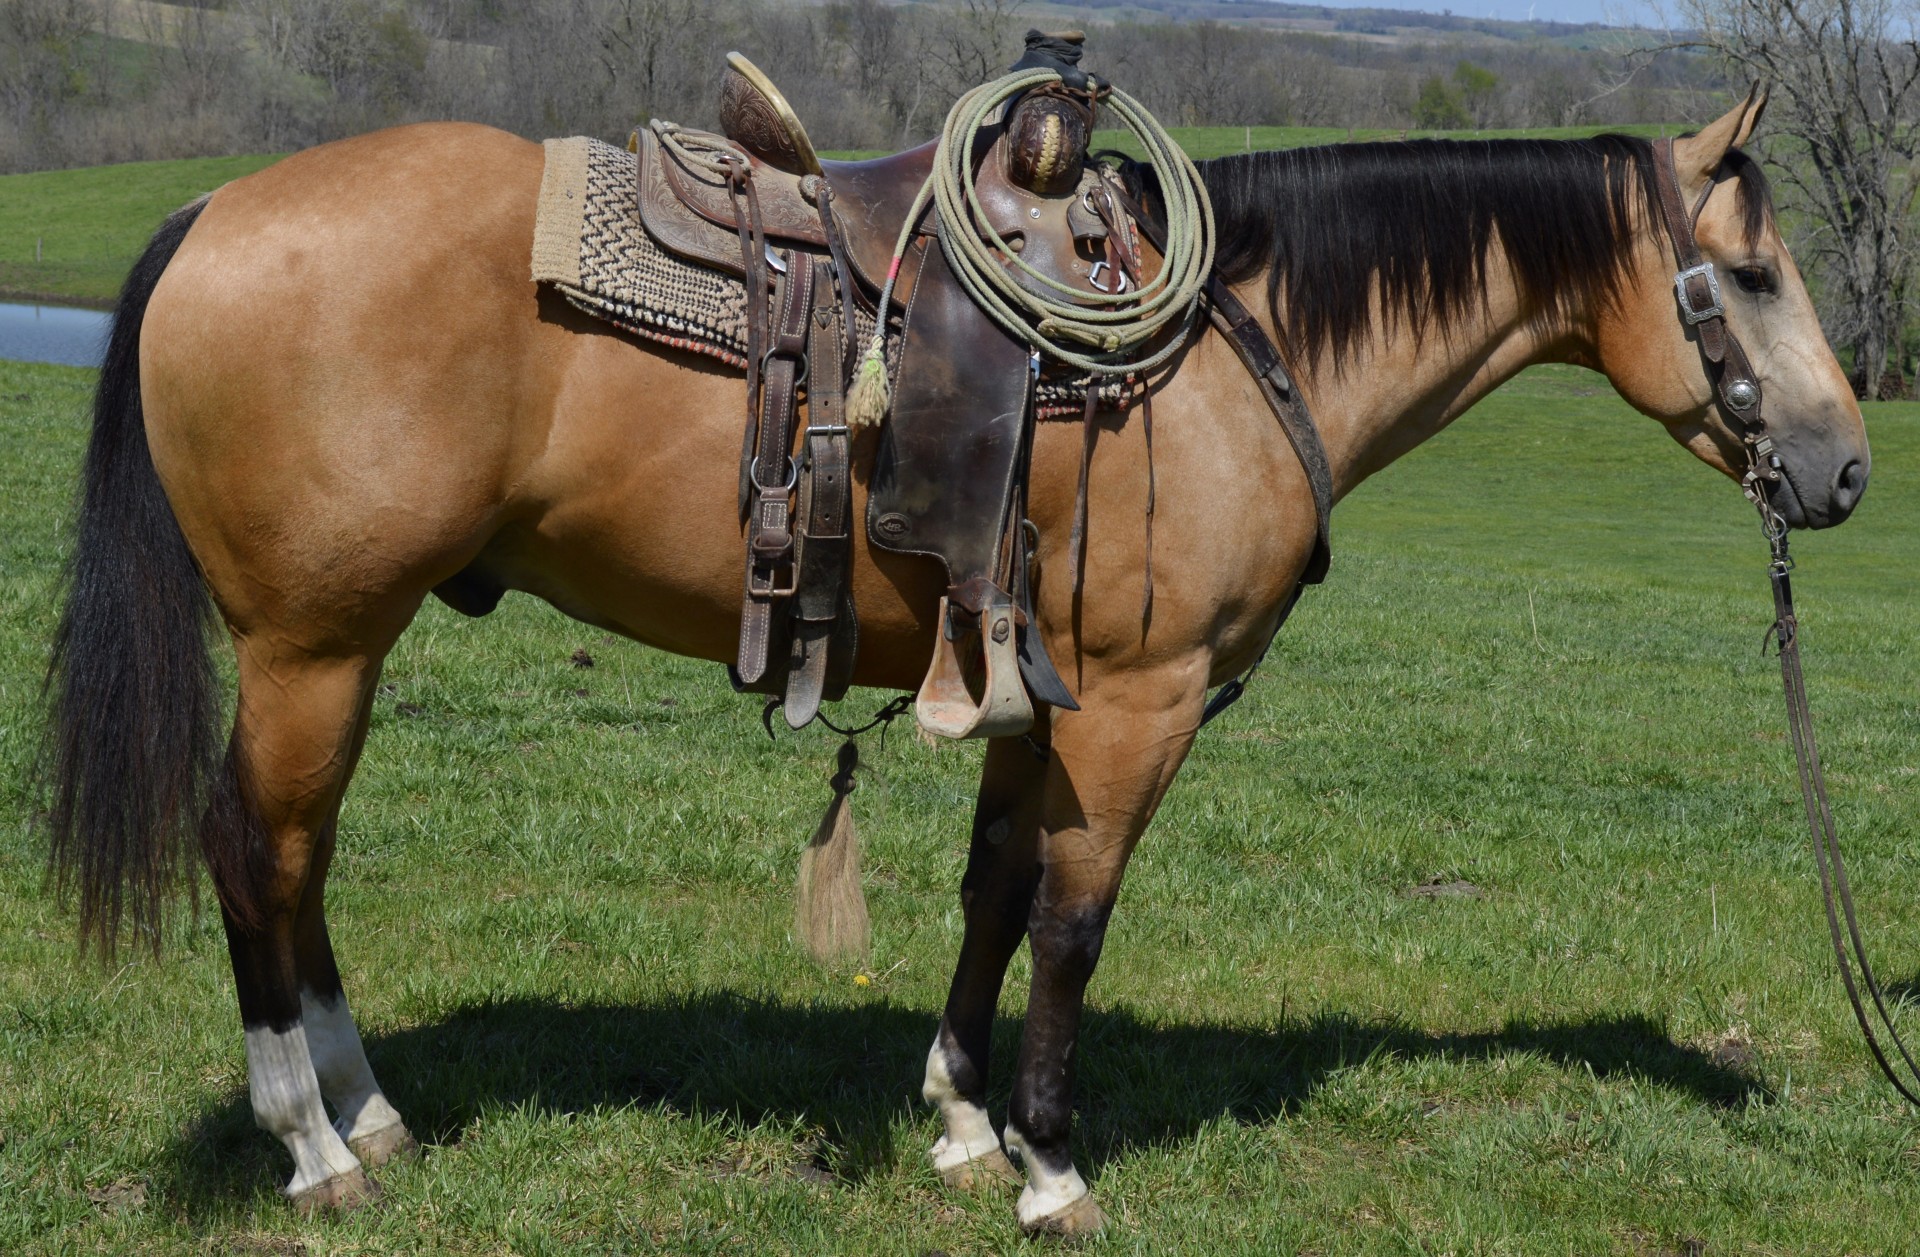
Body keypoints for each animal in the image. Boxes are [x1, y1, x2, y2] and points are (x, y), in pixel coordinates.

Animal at [45, 91, 1866, 1235]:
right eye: (1754, 274)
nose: (1845, 473)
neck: (1234, 350)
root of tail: (215, 208)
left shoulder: (1031, 698)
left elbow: (994, 891)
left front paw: (965, 1119)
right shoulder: (1138, 704)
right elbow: (1073, 918)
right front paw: (1055, 1164)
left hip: (337, 646)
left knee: (301, 858)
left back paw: (370, 1110)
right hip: (313, 642)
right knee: (256, 851)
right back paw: (310, 1145)